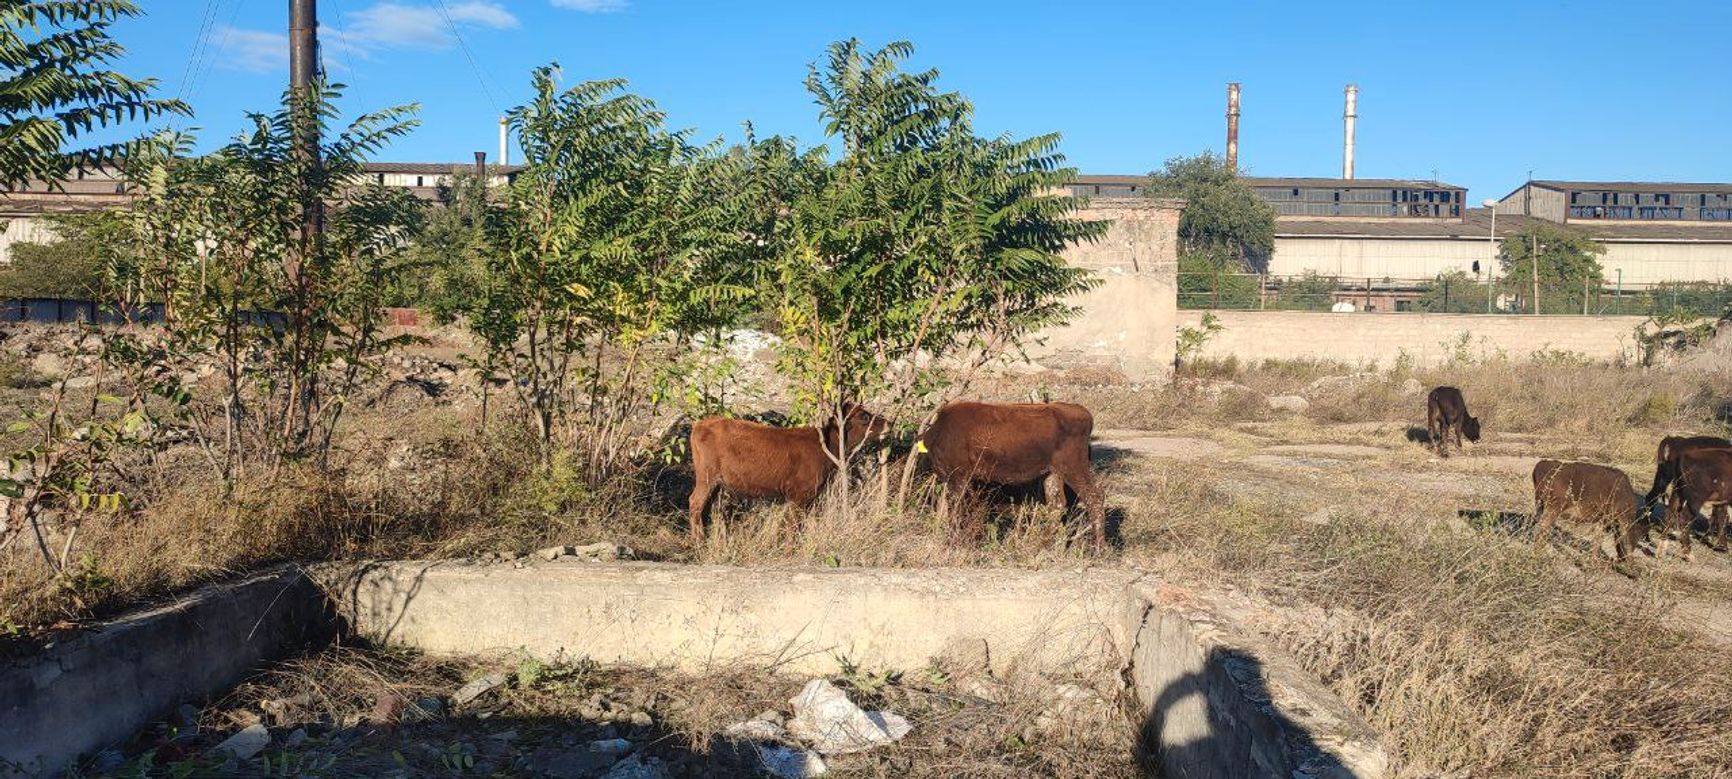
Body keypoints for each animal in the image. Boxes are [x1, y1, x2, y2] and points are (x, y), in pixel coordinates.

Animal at [682, 408, 886, 540]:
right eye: (864, 416)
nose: (889, 422)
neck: (824, 445)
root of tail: (700, 424)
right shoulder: (799, 494)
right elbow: (793, 524)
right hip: (706, 478)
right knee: (695, 502)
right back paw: (698, 543)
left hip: (716, 482)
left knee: (705, 506)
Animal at [914, 405, 1101, 550]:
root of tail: (1083, 413)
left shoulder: (958, 477)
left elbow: (957, 508)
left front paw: (956, 542)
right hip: (1052, 473)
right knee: (1057, 505)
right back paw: (1044, 545)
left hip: (1074, 467)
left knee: (1094, 497)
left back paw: (1098, 550)